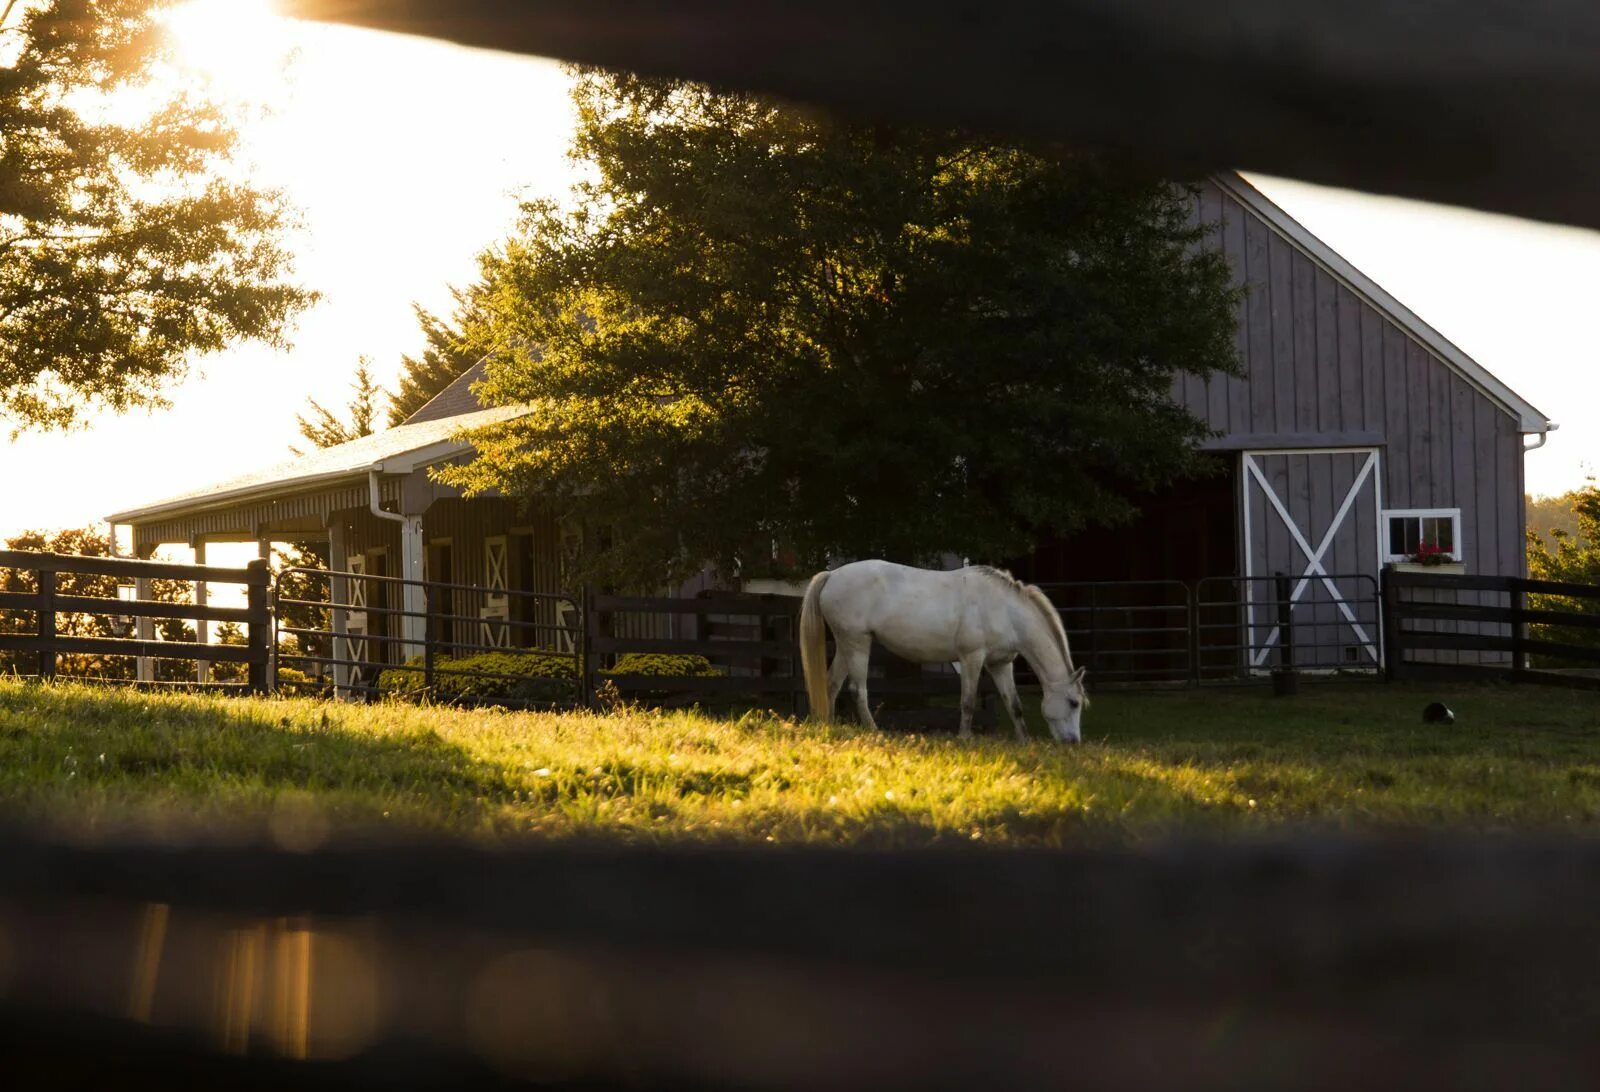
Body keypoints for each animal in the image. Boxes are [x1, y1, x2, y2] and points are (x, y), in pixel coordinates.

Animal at [800, 560, 1088, 739]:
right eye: (1073, 703)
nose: (1073, 743)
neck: (1004, 609)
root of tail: (832, 575)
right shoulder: (972, 658)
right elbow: (968, 702)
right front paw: (965, 737)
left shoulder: (1000, 664)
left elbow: (1014, 705)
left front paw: (1024, 741)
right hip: (857, 644)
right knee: (857, 690)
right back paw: (872, 730)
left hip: (845, 645)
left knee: (831, 684)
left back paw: (829, 726)